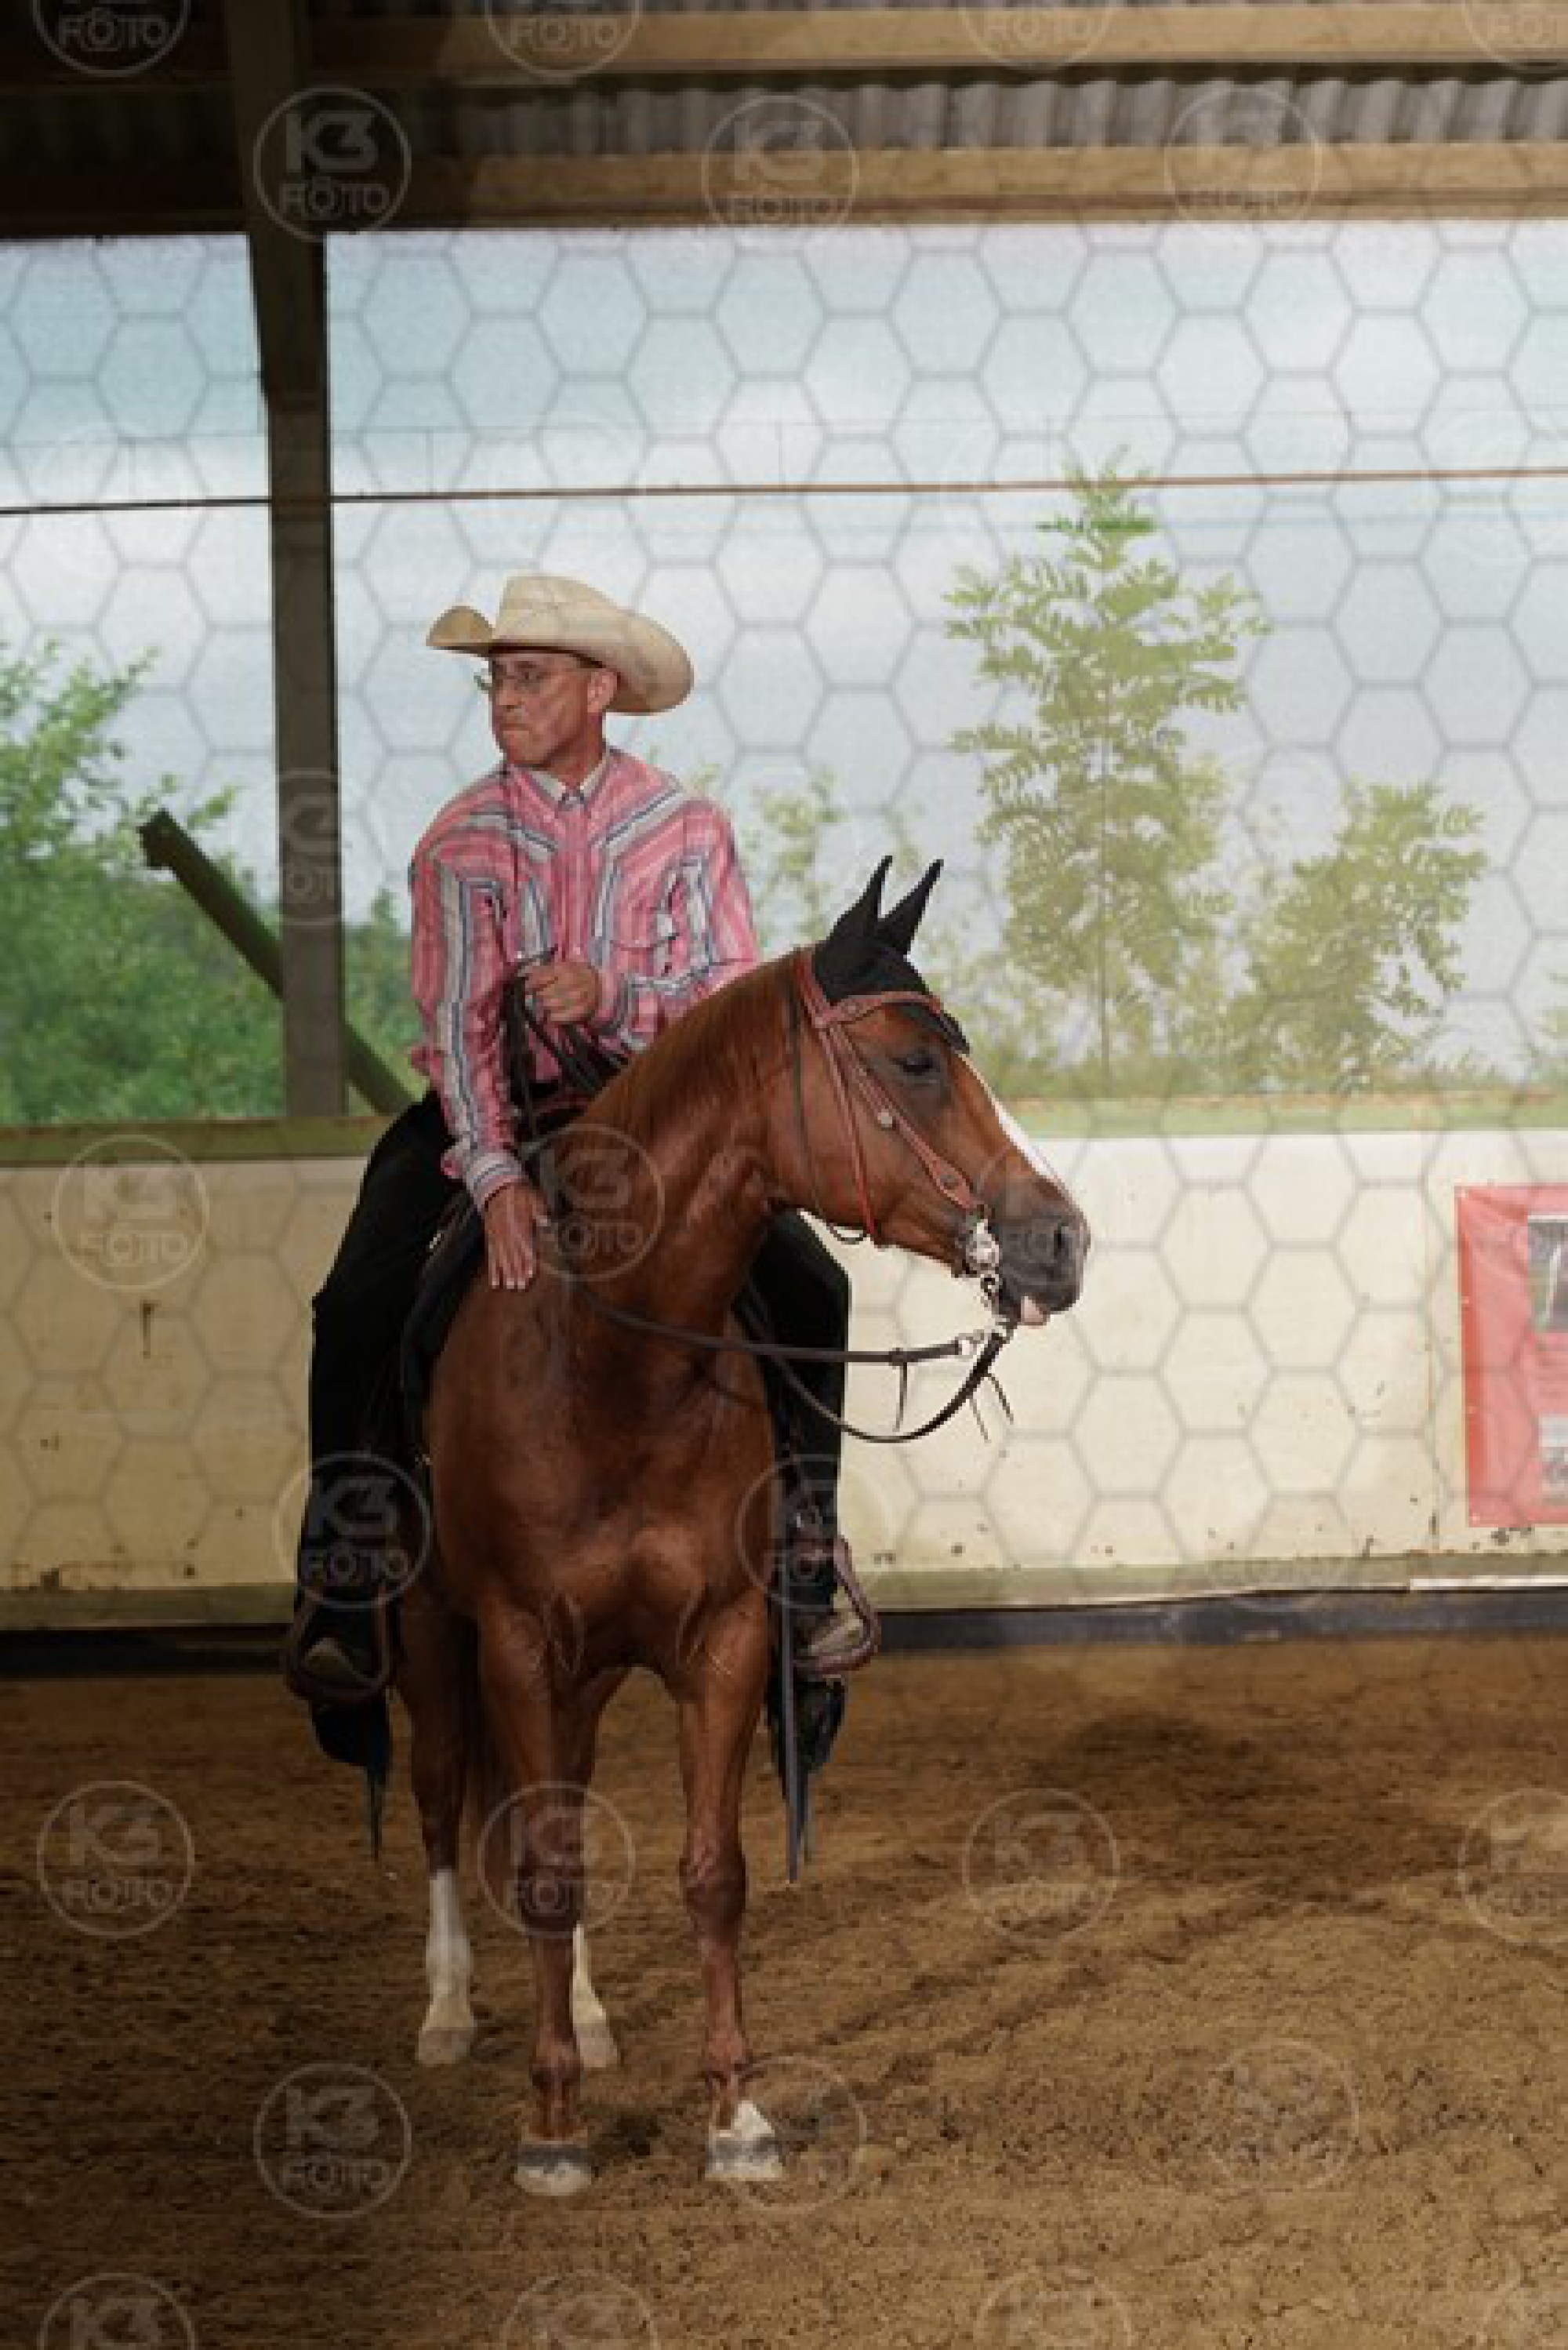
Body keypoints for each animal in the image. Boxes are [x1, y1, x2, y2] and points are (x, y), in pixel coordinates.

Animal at [394, 858, 1089, 2194]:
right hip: (430, 1629)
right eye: (915, 1063)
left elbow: (710, 1874)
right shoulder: (518, 1640)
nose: (1060, 1237)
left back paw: (594, 2014)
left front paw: (737, 2116)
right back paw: (449, 2008)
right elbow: (541, 1866)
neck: (610, 1355)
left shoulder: (719, 1641)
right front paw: (551, 2128)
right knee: (448, 1791)